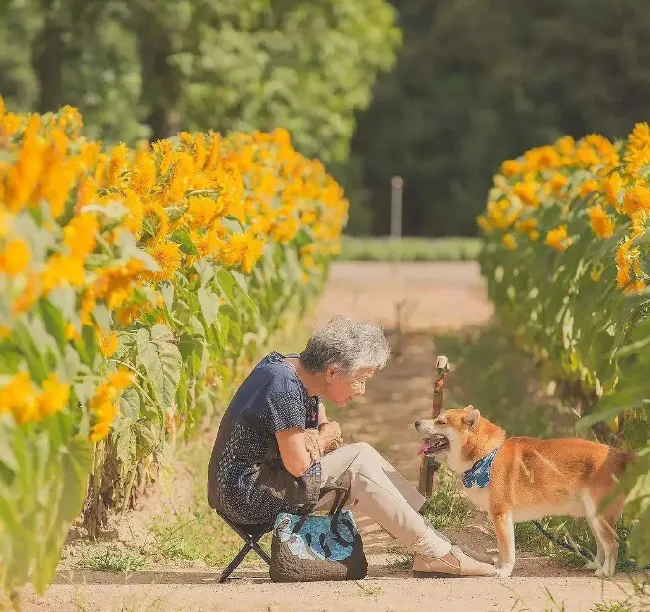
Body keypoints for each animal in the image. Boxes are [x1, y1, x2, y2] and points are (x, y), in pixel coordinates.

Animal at [416, 406, 632, 580]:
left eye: (441, 421)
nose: (417, 422)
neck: (486, 456)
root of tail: (619, 455)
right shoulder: (499, 519)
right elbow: (502, 548)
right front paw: (499, 565)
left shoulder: (501, 515)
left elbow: (508, 551)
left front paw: (504, 572)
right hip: (592, 516)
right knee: (601, 545)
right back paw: (595, 565)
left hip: (599, 517)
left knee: (612, 545)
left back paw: (606, 572)